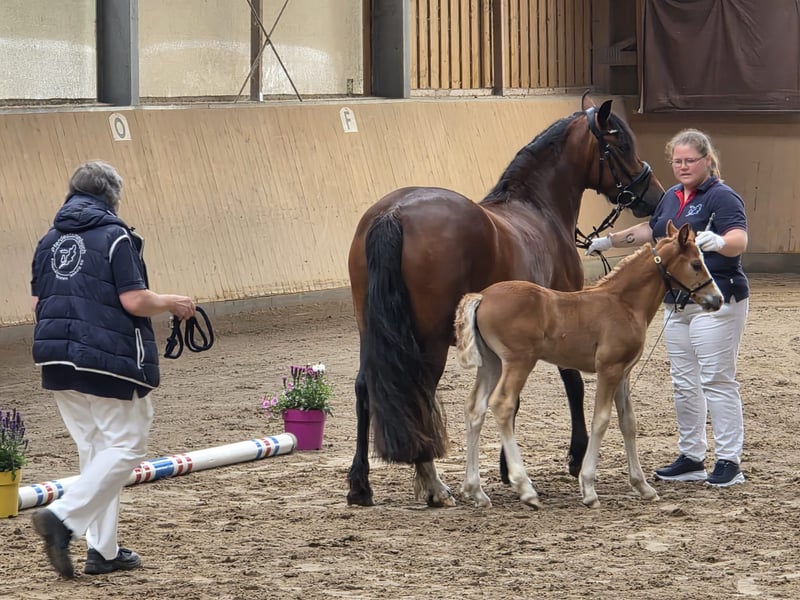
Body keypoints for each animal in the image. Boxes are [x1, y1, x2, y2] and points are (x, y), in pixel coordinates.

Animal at [347, 94, 665, 507]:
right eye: (621, 145)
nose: (654, 196)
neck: (538, 209)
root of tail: (394, 213)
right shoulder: (560, 319)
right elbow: (570, 384)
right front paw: (570, 458)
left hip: (371, 330)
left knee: (365, 388)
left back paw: (361, 485)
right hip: (429, 341)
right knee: (419, 390)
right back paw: (433, 484)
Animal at [454, 221, 723, 509]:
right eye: (696, 264)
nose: (717, 299)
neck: (624, 303)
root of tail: (482, 296)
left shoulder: (624, 373)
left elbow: (628, 422)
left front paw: (643, 486)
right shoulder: (609, 369)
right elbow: (601, 420)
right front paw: (589, 488)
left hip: (491, 363)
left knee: (475, 408)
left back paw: (476, 490)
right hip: (518, 361)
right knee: (502, 404)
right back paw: (525, 489)